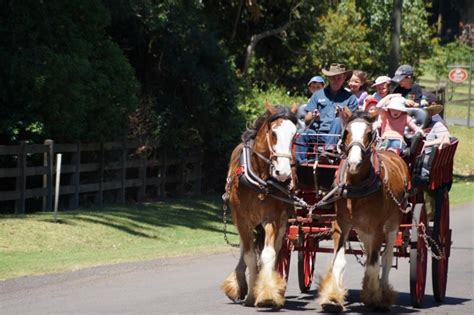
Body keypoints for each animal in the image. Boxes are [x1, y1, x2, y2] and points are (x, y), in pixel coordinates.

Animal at [221, 103, 296, 308]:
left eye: (294, 135)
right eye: (274, 133)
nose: (283, 172)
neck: (259, 180)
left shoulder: (272, 218)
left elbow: (268, 254)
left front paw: (267, 293)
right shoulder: (241, 219)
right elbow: (249, 255)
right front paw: (250, 295)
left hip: (283, 218)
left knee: (276, 248)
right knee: (245, 247)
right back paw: (239, 282)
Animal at [318, 110, 412, 312]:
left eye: (369, 134)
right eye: (346, 132)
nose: (353, 163)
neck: (356, 186)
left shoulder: (377, 229)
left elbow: (374, 264)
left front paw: (374, 297)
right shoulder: (341, 224)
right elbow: (339, 261)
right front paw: (332, 298)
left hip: (393, 224)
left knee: (386, 257)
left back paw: (383, 293)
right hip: (362, 229)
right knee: (370, 253)